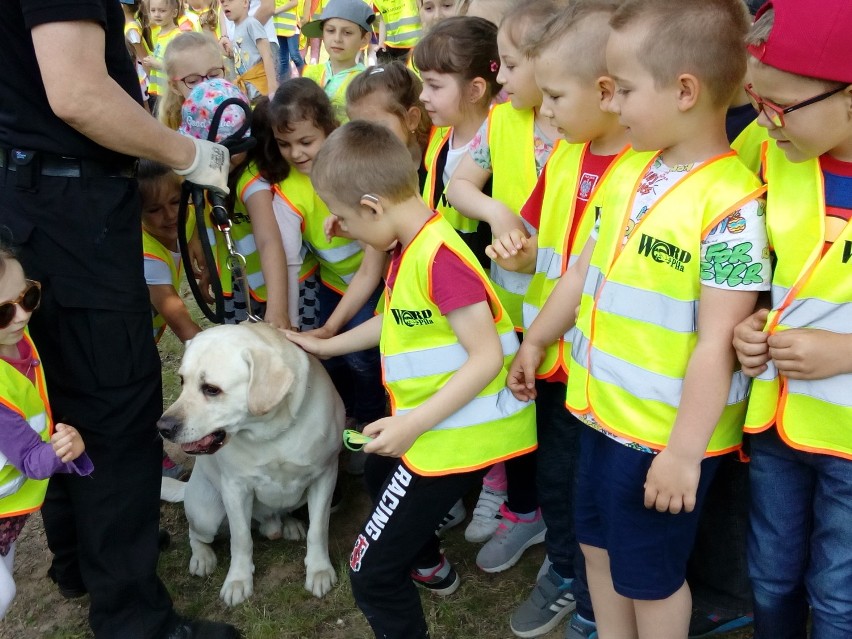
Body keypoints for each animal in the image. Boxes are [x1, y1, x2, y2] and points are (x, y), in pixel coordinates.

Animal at [156, 322, 342, 608]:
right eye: (182, 381)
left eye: (211, 389)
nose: (163, 427)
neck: (271, 431)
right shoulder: (235, 488)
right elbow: (241, 538)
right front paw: (238, 581)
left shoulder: (325, 475)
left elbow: (318, 529)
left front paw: (319, 569)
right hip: (206, 515)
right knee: (195, 535)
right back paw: (202, 558)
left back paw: (289, 524)